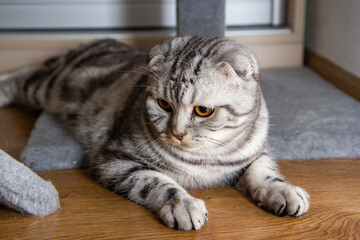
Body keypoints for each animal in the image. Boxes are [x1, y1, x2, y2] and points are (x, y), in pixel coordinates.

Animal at [0, 37, 310, 231]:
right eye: (164, 104)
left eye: (204, 111)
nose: (177, 133)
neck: (206, 158)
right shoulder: (115, 159)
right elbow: (158, 182)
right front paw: (183, 205)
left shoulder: (254, 154)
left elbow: (263, 171)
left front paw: (284, 191)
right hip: (47, 87)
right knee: (23, 75)